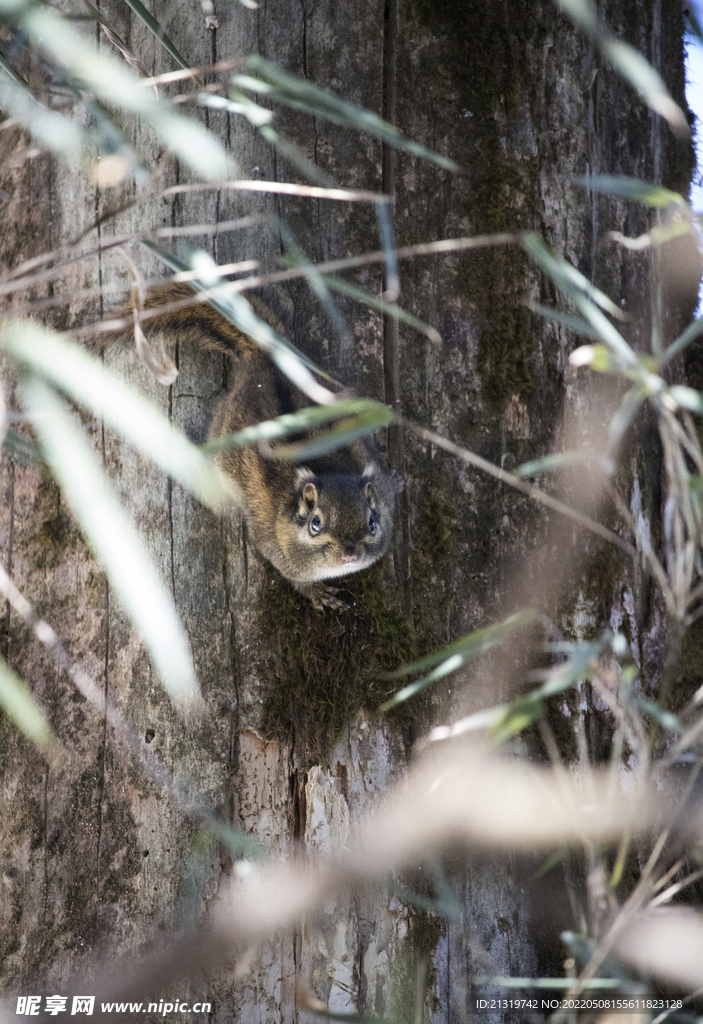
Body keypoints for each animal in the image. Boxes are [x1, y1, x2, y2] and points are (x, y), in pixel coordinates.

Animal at [93, 282, 405, 606]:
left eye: (372, 523)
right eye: (315, 523)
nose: (349, 555)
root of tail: (266, 358)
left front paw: (394, 481)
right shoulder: (274, 546)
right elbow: (295, 578)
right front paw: (319, 594)